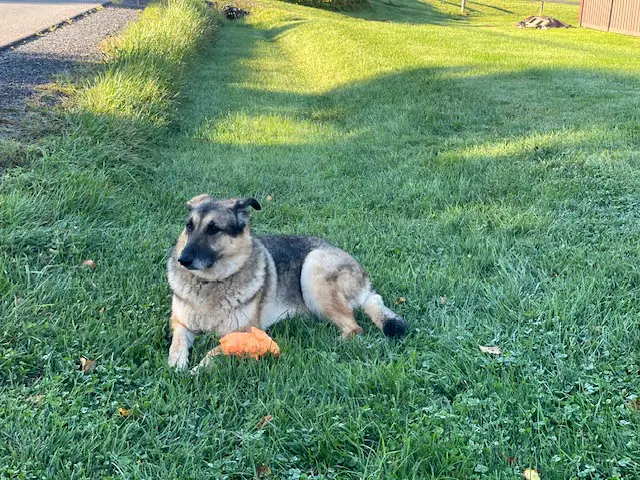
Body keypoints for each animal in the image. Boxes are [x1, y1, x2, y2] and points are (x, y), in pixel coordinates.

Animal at [165, 195, 404, 372]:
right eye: (189, 226)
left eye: (214, 229)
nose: (183, 260)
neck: (210, 282)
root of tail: (365, 281)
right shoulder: (181, 325)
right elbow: (176, 345)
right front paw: (176, 365)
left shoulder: (242, 332)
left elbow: (215, 351)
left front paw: (198, 369)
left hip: (313, 268)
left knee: (355, 329)